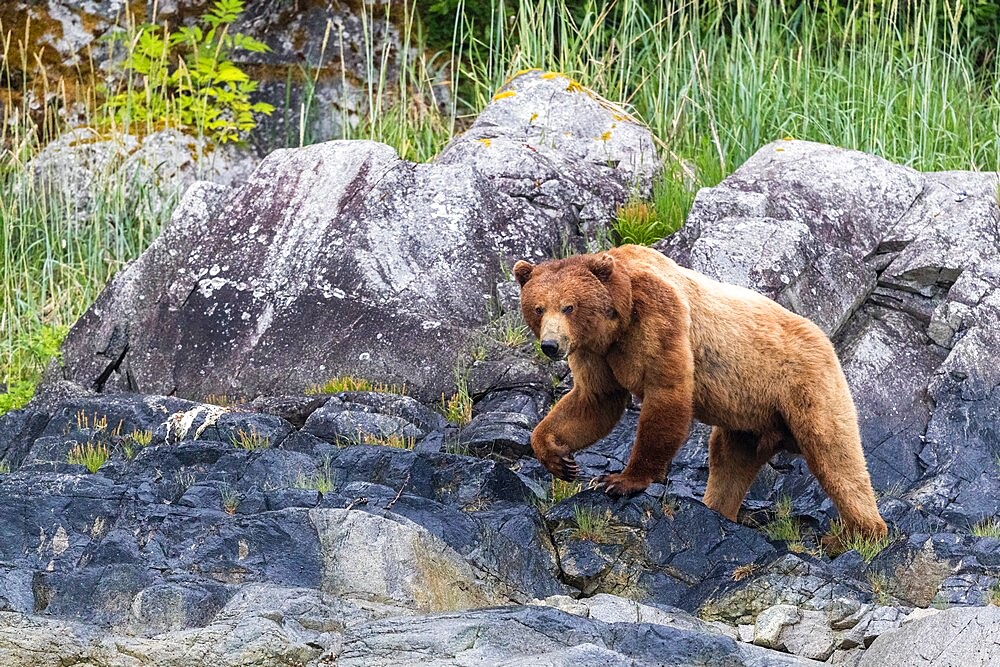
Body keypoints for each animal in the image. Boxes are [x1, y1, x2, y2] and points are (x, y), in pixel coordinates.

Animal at [516, 245, 892, 544]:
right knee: (730, 460)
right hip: (750, 416)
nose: (551, 345)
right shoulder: (595, 351)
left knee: (834, 453)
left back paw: (858, 534)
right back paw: (719, 509)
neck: (618, 319)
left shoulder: (658, 316)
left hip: (806, 384)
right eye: (538, 308)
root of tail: (824, 337)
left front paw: (621, 479)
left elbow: (667, 391)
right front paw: (560, 458)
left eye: (569, 306)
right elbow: (594, 401)